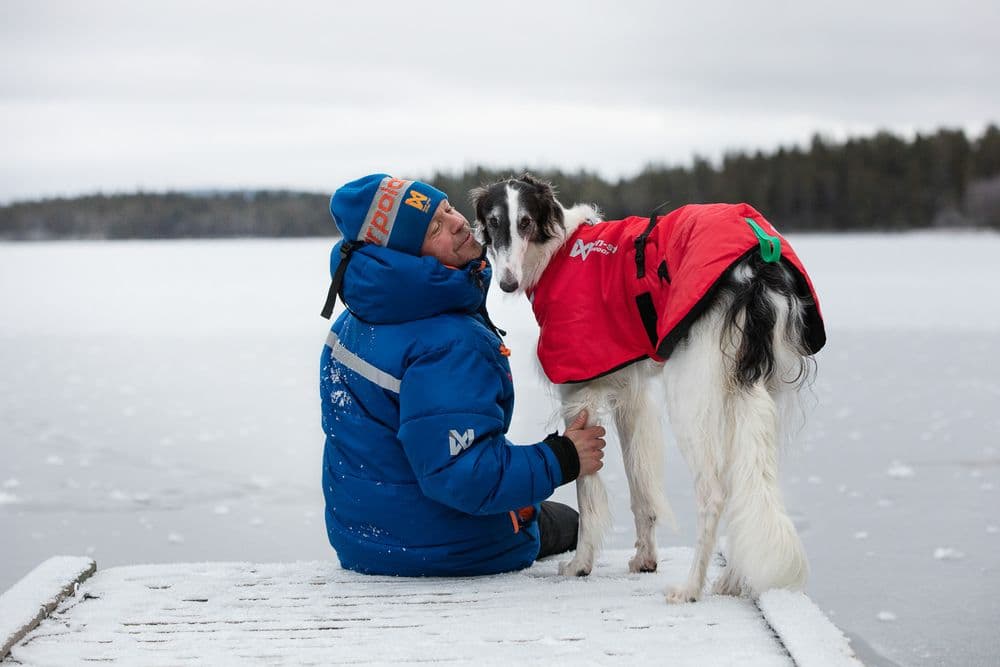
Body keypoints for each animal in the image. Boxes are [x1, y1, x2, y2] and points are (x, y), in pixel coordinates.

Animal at [472, 175, 824, 604]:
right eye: (493, 222)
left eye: (525, 222)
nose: (506, 283)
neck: (558, 250)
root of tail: (758, 269)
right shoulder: (631, 392)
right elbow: (641, 487)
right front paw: (645, 558)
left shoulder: (580, 393)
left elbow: (587, 488)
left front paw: (580, 565)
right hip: (754, 388)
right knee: (750, 481)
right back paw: (730, 580)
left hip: (692, 391)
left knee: (715, 492)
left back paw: (690, 587)